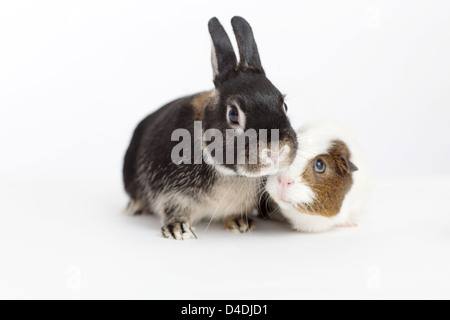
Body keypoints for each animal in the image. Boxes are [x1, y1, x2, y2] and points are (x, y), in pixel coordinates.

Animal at [123, 16, 298, 239]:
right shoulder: (171, 193)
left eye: (284, 105)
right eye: (233, 114)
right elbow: (173, 209)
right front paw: (179, 230)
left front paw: (240, 223)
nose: (276, 150)